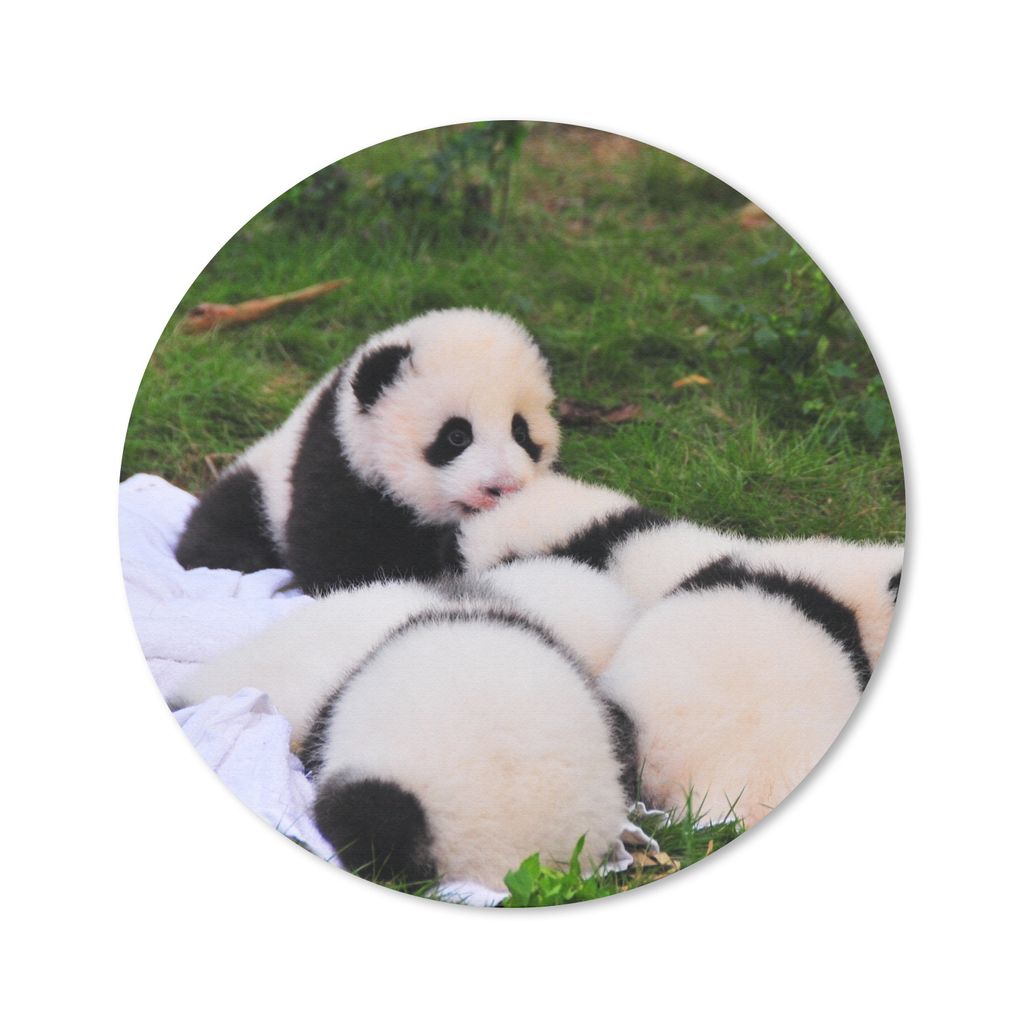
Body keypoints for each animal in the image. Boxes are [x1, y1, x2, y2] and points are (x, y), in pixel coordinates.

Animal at [174, 308, 560, 595]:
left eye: (520, 431)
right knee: (223, 530)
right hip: (263, 488)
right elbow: (344, 566)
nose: (503, 487)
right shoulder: (336, 467)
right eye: (456, 436)